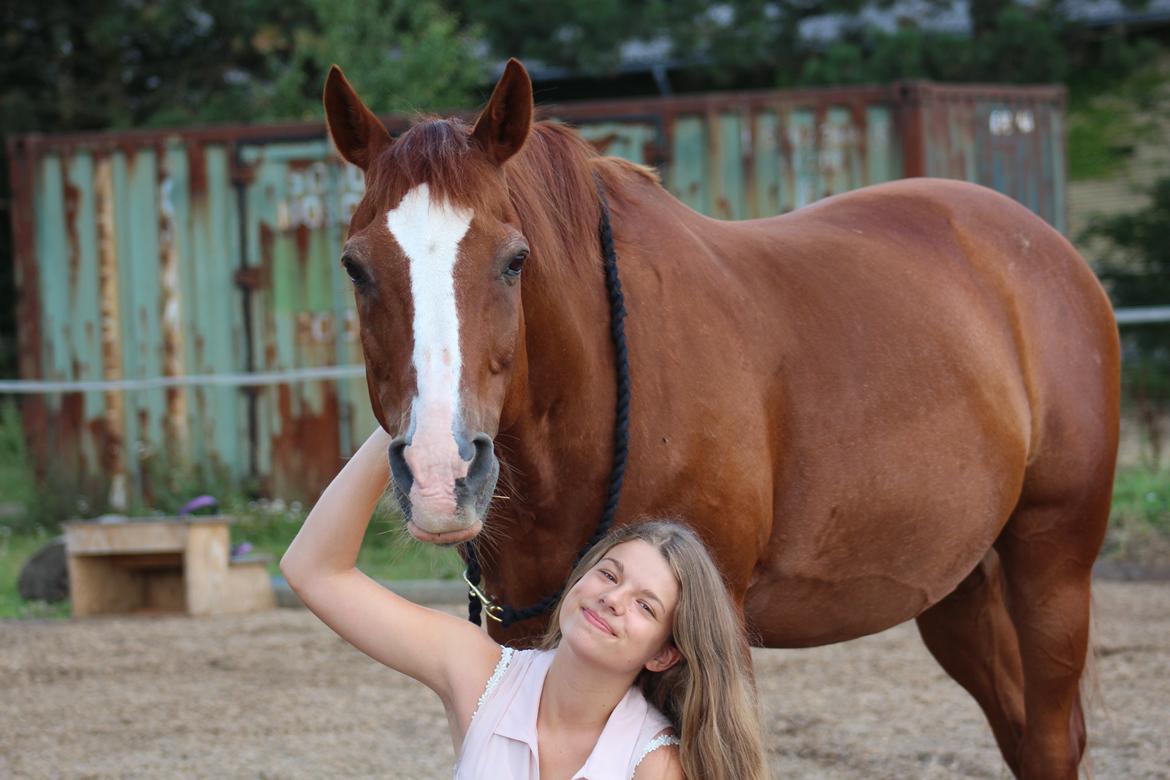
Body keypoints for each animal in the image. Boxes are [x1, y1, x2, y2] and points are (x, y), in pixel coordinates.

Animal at [320, 57, 1113, 776]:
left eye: (515, 260)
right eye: (355, 267)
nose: (439, 473)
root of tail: (1044, 249)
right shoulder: (519, 628)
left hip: (1052, 565)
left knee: (1049, 739)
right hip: (957, 587)